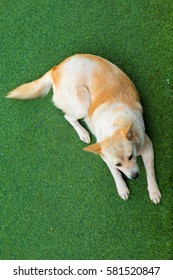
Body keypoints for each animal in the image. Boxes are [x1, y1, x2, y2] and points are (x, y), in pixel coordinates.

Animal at [6, 54, 161, 203]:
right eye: (118, 164)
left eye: (130, 156)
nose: (135, 176)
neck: (116, 123)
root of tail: (56, 69)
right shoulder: (105, 157)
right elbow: (116, 173)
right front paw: (122, 187)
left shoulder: (148, 146)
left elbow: (150, 171)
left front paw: (153, 191)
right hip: (83, 104)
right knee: (69, 117)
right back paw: (83, 133)